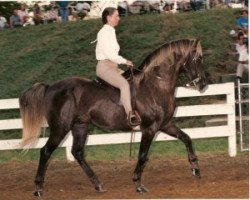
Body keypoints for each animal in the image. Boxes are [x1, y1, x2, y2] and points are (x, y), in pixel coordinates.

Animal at [19, 38, 207, 196]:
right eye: (197, 59)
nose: (203, 84)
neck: (155, 85)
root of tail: (50, 87)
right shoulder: (150, 128)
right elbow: (142, 156)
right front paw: (138, 183)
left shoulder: (165, 124)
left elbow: (187, 138)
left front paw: (195, 168)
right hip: (60, 128)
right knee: (46, 151)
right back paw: (38, 188)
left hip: (80, 126)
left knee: (77, 152)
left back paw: (98, 184)